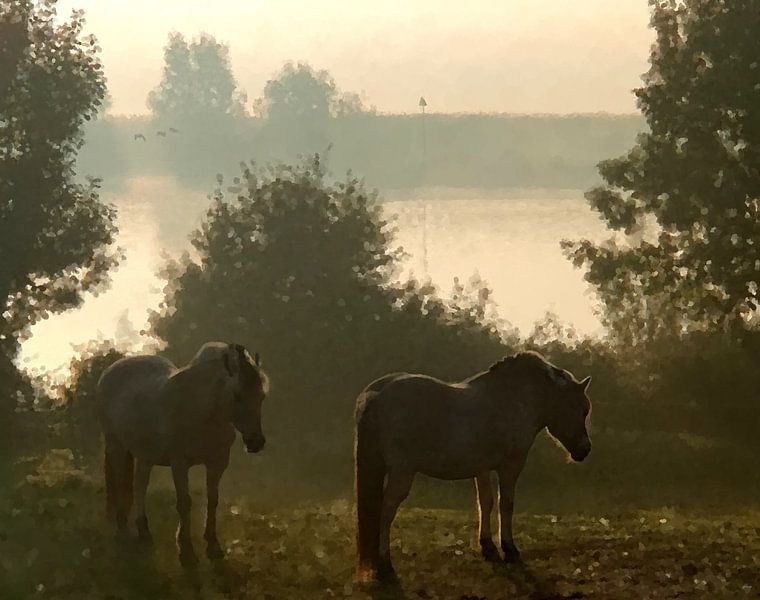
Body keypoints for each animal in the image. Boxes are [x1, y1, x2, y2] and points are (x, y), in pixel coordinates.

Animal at [96, 341, 269, 567]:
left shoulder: (217, 463)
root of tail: (110, 371)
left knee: (139, 485)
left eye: (262, 396)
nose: (255, 442)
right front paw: (186, 550)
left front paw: (213, 545)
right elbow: (184, 502)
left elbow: (212, 500)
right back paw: (121, 530)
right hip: (116, 445)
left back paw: (144, 531)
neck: (203, 411)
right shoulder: (179, 464)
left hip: (145, 456)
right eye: (237, 394)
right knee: (119, 485)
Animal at [353, 350, 592, 581]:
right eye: (580, 408)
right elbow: (506, 504)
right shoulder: (511, 465)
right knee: (386, 511)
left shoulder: (482, 468)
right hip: (402, 472)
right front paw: (509, 549)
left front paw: (488, 546)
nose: (585, 449)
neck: (516, 398)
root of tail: (377, 394)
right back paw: (385, 564)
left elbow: (485, 502)